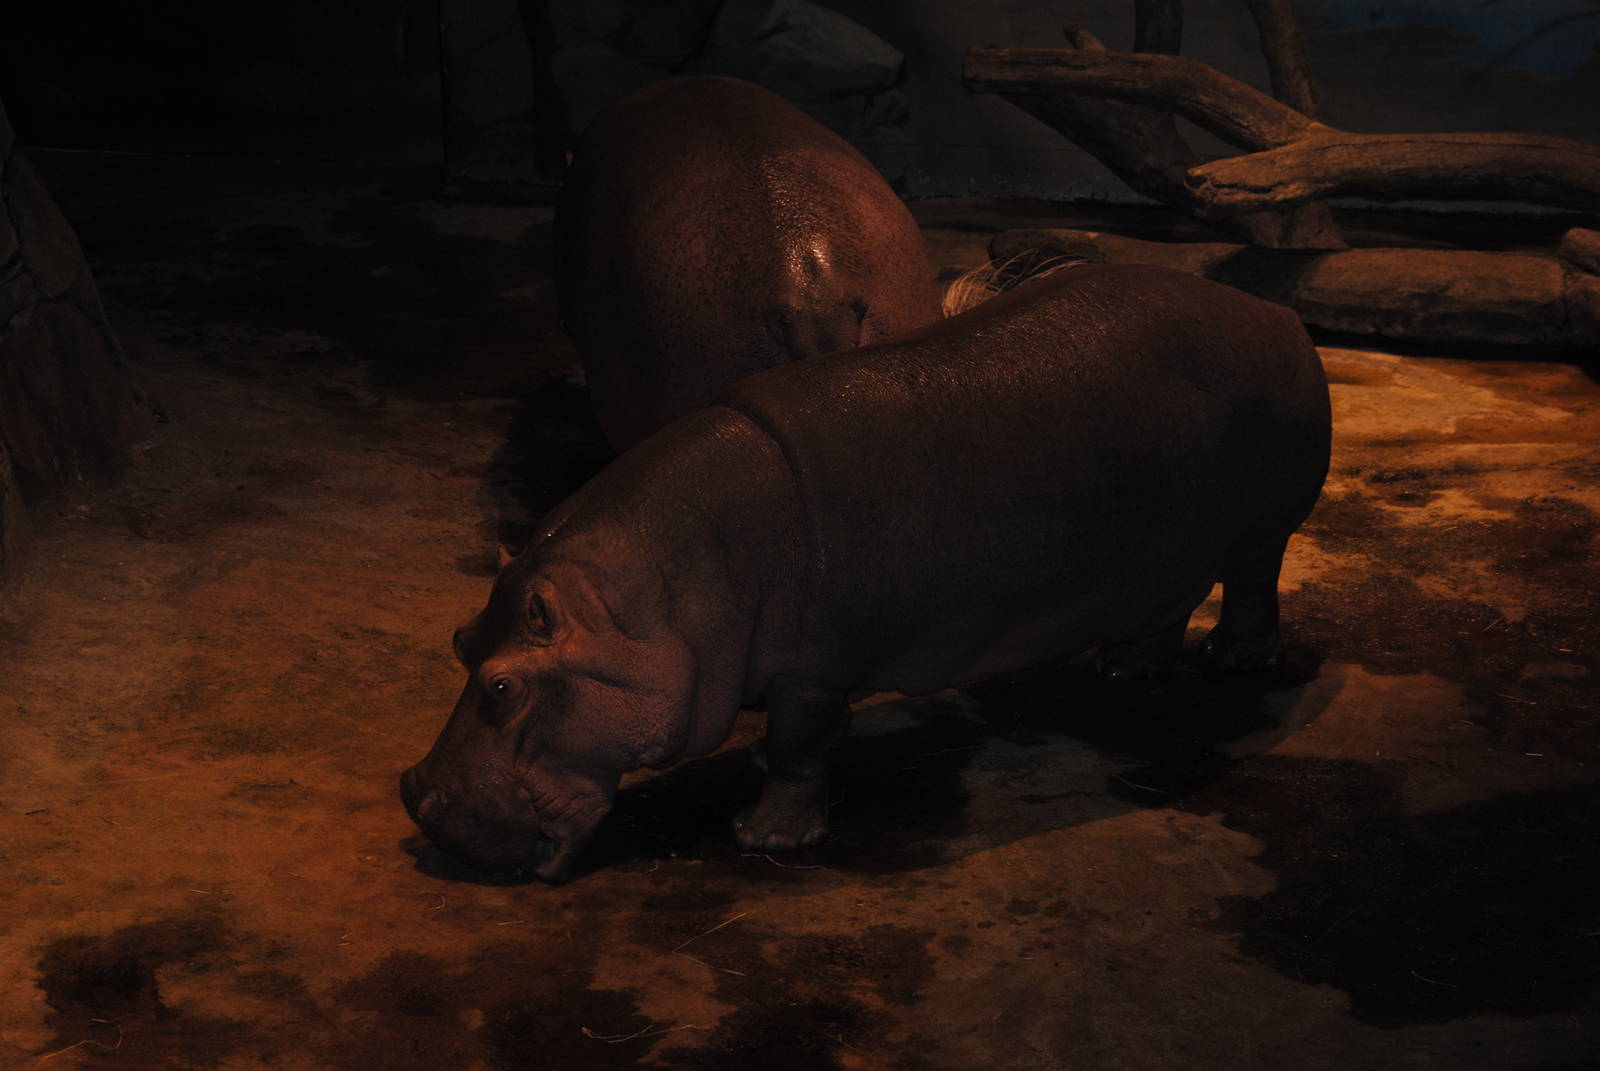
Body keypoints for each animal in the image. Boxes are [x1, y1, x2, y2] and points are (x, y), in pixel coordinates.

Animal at [401, 264, 1331, 881]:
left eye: (502, 688)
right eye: (458, 639)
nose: (415, 797)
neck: (657, 597)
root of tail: (1278, 313)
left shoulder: (814, 671)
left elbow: (798, 743)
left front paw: (764, 837)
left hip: (1265, 525)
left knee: (1253, 585)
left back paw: (1237, 663)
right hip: (1165, 542)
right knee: (1167, 601)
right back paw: (1126, 668)